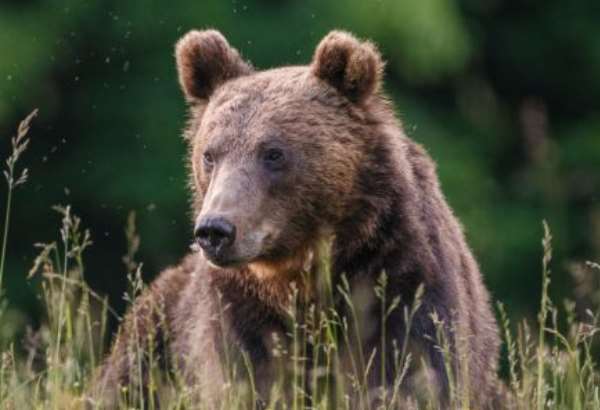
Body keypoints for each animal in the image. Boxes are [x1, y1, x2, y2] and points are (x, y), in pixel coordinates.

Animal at [89, 29, 502, 410]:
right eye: (209, 154)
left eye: (273, 153)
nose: (215, 231)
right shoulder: (240, 312)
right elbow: (249, 379)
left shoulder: (403, 279)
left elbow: (412, 376)